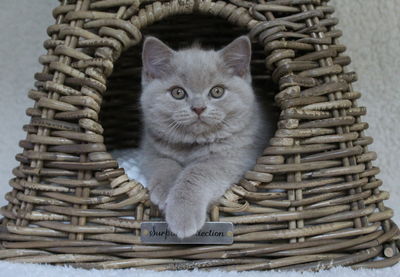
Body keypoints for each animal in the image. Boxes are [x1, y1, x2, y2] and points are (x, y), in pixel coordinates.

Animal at [138, 34, 268, 237]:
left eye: (217, 91)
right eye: (178, 92)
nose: (198, 108)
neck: (192, 143)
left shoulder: (235, 156)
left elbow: (197, 172)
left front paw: (182, 213)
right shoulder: (149, 150)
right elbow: (163, 163)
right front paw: (166, 191)